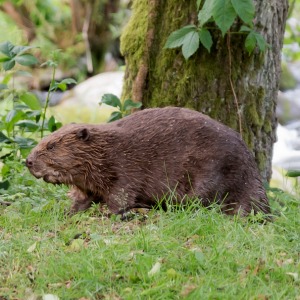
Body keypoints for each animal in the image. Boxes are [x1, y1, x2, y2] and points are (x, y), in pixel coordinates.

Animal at [25, 107, 272, 218]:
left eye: (51, 145)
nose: (28, 161)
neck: (107, 148)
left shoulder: (126, 165)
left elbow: (121, 195)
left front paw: (109, 212)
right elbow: (83, 198)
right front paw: (68, 211)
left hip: (213, 171)